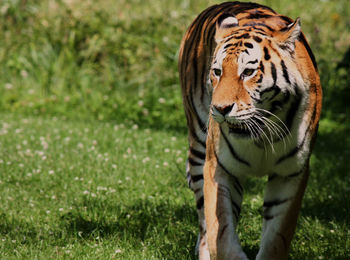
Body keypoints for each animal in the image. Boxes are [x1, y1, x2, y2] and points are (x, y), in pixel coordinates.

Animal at [178, 1, 322, 258]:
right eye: (217, 72)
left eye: (247, 72)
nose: (220, 108)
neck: (262, 135)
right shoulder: (219, 169)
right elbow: (221, 235)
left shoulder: (291, 173)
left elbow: (276, 237)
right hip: (198, 147)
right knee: (204, 222)